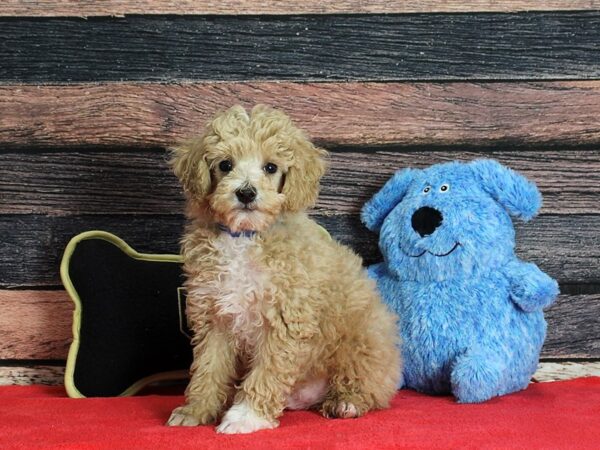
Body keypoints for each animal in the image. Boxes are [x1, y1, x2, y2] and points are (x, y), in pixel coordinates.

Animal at [166, 104, 400, 432]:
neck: (245, 235)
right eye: (225, 165)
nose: (246, 193)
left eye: (270, 167)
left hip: (364, 339)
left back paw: (347, 402)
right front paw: (196, 410)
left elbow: (267, 370)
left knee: (368, 384)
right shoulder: (214, 315)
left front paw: (245, 417)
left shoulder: (285, 317)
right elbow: (208, 368)